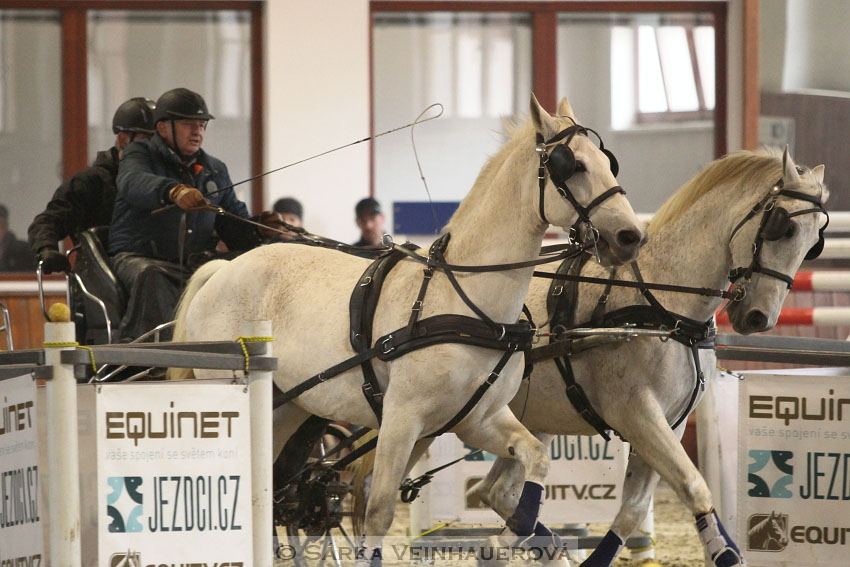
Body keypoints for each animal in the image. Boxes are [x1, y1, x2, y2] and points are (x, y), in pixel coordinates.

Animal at [171, 95, 644, 564]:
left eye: (608, 161)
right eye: (573, 165)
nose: (630, 236)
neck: (465, 303)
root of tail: (223, 269)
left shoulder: (476, 419)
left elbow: (537, 456)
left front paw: (508, 536)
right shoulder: (401, 419)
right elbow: (378, 513)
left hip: (285, 406)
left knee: (266, 492)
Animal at [468, 148, 824, 567]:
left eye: (815, 243)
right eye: (783, 227)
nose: (759, 318)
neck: (663, 305)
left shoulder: (671, 422)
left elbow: (633, 509)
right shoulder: (637, 414)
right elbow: (694, 485)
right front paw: (725, 551)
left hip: (533, 417)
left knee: (497, 490)